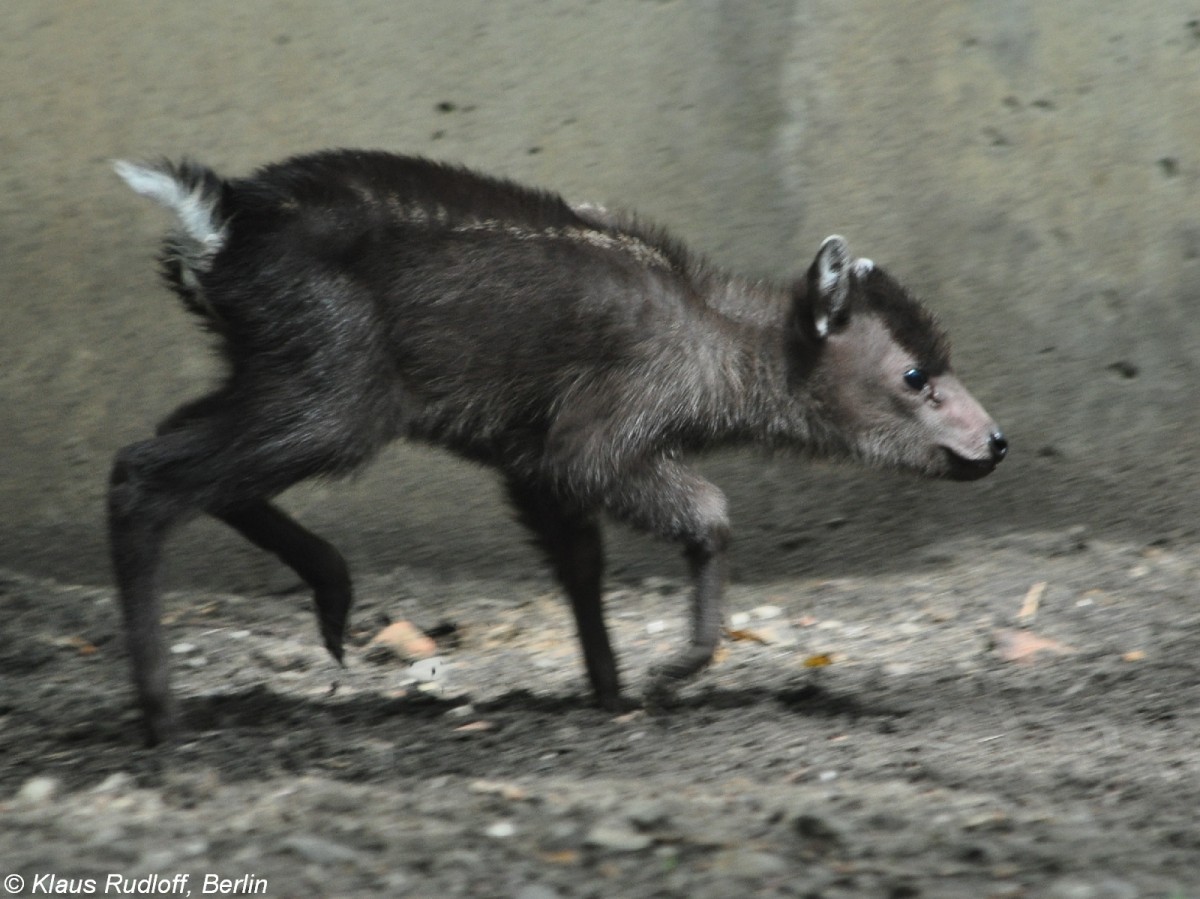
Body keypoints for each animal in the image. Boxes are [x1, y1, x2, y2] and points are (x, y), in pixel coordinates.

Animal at [110, 150, 1003, 744]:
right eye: (917, 373)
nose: (996, 441)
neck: (713, 355)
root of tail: (215, 228)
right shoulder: (601, 429)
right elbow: (708, 510)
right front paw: (665, 677)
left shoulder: (529, 456)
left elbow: (580, 561)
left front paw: (612, 691)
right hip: (336, 382)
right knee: (147, 471)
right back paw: (162, 717)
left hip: (275, 364)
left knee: (167, 437)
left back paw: (330, 603)